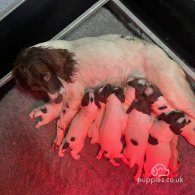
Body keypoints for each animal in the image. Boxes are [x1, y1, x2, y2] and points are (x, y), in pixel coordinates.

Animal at [11, 34, 195, 152]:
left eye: (46, 75)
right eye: (35, 88)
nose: (56, 100)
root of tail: (167, 57)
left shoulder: (74, 95)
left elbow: (61, 120)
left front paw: (58, 137)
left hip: (173, 91)